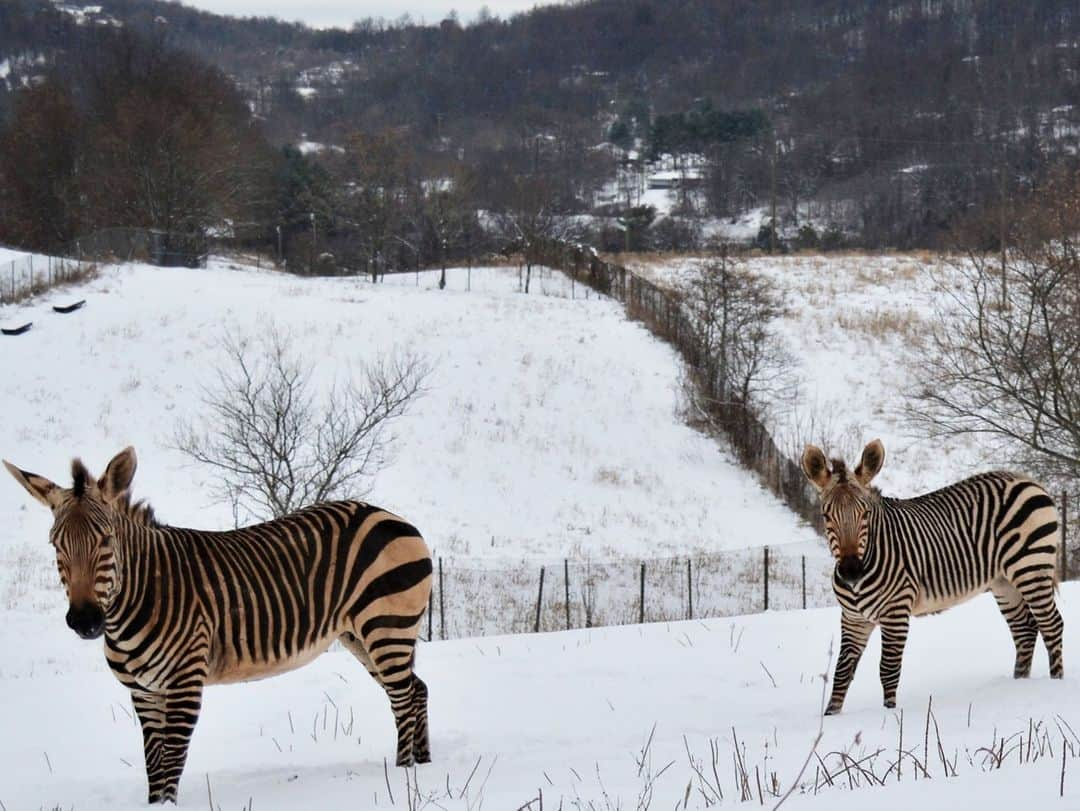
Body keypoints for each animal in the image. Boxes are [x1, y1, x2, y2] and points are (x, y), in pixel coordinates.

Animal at [5, 451, 434, 807]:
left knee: (402, 697)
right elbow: (153, 766)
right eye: (55, 544)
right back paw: (424, 766)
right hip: (359, 635)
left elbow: (171, 763)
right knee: (416, 690)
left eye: (106, 540)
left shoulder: (184, 682)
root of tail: (393, 516)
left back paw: (403, 778)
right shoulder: (144, 692)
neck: (141, 595)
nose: (84, 621)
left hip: (384, 626)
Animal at [803, 440, 1062, 712]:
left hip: (1031, 567)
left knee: (1051, 624)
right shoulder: (854, 619)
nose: (852, 571)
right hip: (1004, 582)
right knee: (1025, 630)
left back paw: (1056, 684)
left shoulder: (896, 613)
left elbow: (888, 670)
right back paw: (1019, 684)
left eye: (865, 515)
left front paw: (889, 714)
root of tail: (1025, 479)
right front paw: (831, 716)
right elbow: (842, 672)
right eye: (826, 516)